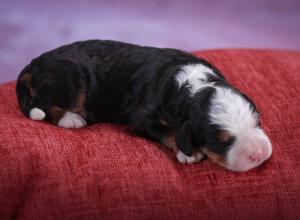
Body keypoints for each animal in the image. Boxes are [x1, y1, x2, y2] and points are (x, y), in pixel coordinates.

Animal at [17, 39, 274, 172]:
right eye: (221, 141)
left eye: (258, 121)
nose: (259, 154)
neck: (191, 86)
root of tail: (33, 63)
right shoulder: (142, 117)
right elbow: (169, 131)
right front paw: (188, 153)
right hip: (70, 78)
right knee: (44, 105)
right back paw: (72, 119)